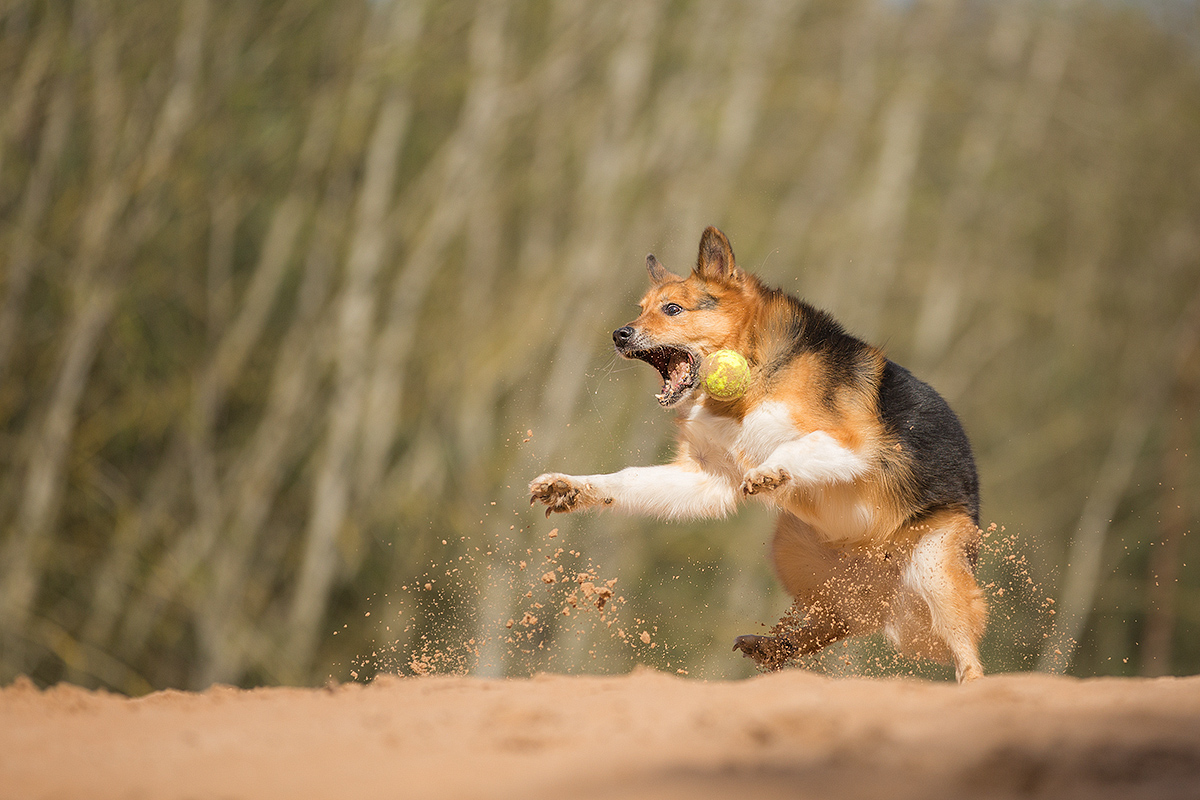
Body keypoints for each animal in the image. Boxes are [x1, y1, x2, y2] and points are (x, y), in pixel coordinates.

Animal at [532, 225, 984, 681]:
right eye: (640, 310)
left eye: (673, 309)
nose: (618, 334)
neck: (752, 366)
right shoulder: (708, 479)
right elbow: (627, 479)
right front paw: (569, 488)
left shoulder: (855, 442)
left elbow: (796, 444)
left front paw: (772, 472)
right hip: (797, 555)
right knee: (836, 620)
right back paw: (773, 647)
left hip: (934, 569)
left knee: (965, 651)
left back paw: (971, 683)